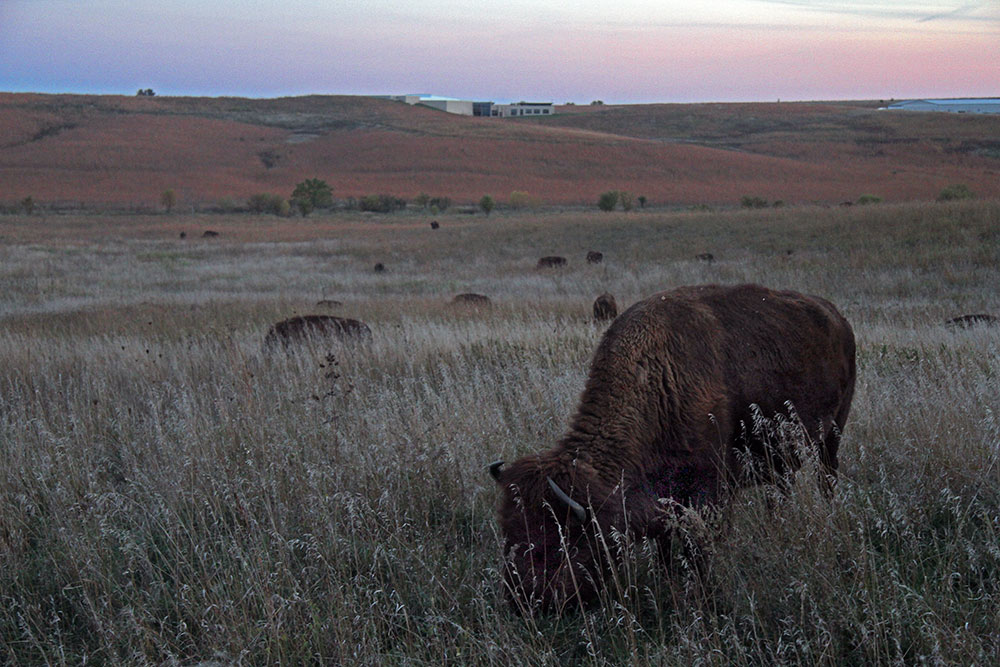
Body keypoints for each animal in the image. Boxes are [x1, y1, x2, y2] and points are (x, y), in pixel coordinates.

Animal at [488, 284, 856, 612]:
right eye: (508, 533)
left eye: (552, 543)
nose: (522, 601)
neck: (660, 377)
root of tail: (837, 318)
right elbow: (665, 547)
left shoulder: (710, 492)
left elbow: (699, 547)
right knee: (780, 494)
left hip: (832, 436)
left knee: (826, 480)